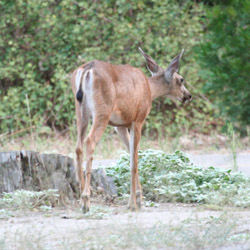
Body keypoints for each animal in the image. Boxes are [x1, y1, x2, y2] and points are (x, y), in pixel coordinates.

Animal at [71, 47, 192, 213]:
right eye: (181, 79)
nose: (188, 95)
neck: (149, 89)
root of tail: (87, 69)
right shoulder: (138, 120)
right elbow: (134, 160)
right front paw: (133, 203)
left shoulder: (119, 126)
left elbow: (131, 154)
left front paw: (140, 198)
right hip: (102, 111)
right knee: (89, 141)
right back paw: (86, 201)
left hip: (81, 111)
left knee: (78, 146)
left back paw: (81, 198)